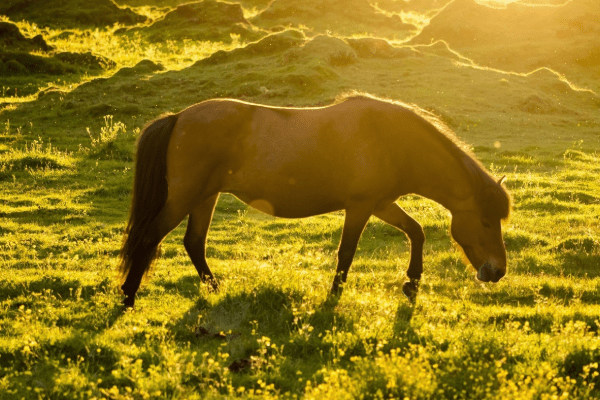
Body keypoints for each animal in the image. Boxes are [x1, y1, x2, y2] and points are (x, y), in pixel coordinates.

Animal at [118, 95, 510, 308]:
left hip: (205, 196)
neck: (392, 140)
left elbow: (416, 232)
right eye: (486, 221)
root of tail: (178, 117)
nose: (497, 271)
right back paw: (128, 297)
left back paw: (215, 289)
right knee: (150, 237)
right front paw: (334, 296)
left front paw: (411, 285)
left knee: (194, 243)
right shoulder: (361, 206)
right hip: (186, 196)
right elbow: (347, 253)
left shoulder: (381, 203)